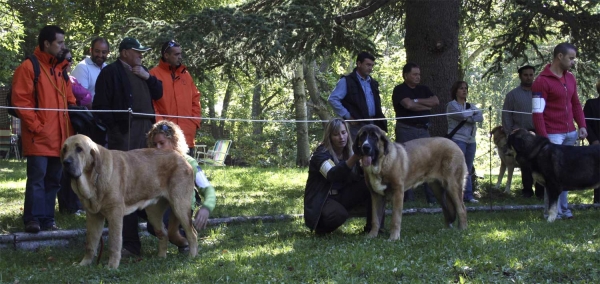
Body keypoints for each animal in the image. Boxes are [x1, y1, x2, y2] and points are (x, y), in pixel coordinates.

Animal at [60, 134, 197, 270]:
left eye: (79, 149)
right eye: (64, 149)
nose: (65, 162)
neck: (93, 179)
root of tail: (182, 157)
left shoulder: (114, 215)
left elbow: (114, 243)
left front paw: (112, 266)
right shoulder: (93, 216)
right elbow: (90, 244)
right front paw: (84, 264)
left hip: (180, 207)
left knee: (192, 234)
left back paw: (191, 257)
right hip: (154, 214)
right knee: (163, 234)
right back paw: (161, 257)